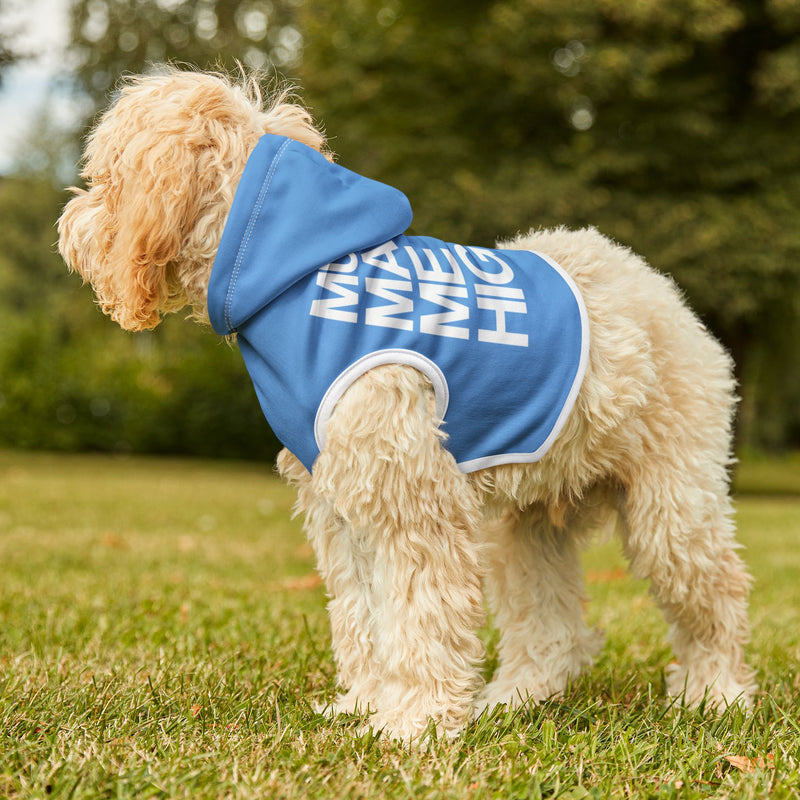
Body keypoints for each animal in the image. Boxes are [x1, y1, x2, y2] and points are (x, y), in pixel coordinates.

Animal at [57, 69, 756, 744]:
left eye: (105, 176)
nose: (68, 226)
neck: (300, 276)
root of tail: (660, 290)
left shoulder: (412, 501)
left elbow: (420, 617)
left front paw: (414, 723)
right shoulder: (343, 504)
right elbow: (364, 616)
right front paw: (366, 705)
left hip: (673, 507)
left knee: (717, 596)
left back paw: (715, 694)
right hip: (527, 525)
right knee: (552, 628)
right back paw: (515, 698)